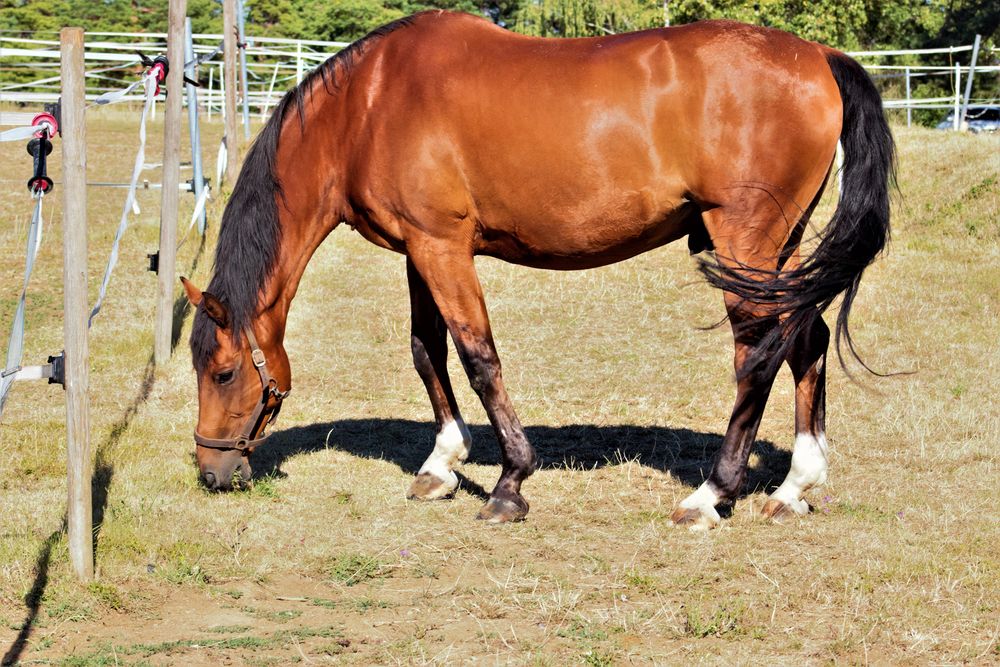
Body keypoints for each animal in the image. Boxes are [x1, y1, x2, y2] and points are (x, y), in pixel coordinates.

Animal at [184, 9, 896, 532]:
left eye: (222, 372)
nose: (211, 473)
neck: (367, 105)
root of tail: (818, 58)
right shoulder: (421, 250)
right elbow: (426, 350)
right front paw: (441, 464)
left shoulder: (443, 248)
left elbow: (478, 357)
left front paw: (509, 483)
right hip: (779, 249)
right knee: (805, 337)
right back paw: (795, 486)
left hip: (744, 241)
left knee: (759, 353)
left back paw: (711, 494)